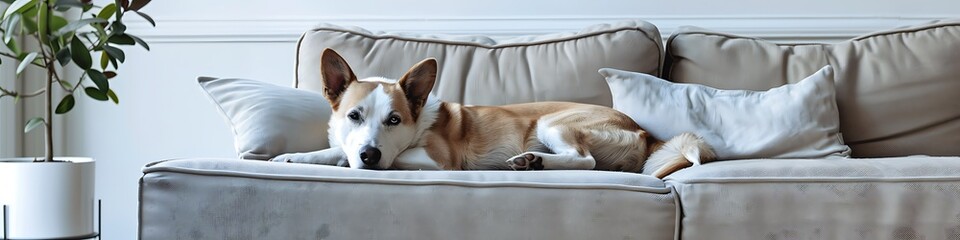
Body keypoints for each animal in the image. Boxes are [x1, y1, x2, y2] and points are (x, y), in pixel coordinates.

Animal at [270, 48, 712, 178]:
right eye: (354, 116)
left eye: (394, 120)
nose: (369, 155)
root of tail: (644, 132)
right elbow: (335, 151)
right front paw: (295, 156)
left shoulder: (437, 159)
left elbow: (394, 158)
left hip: (553, 123)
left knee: (584, 160)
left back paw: (532, 161)